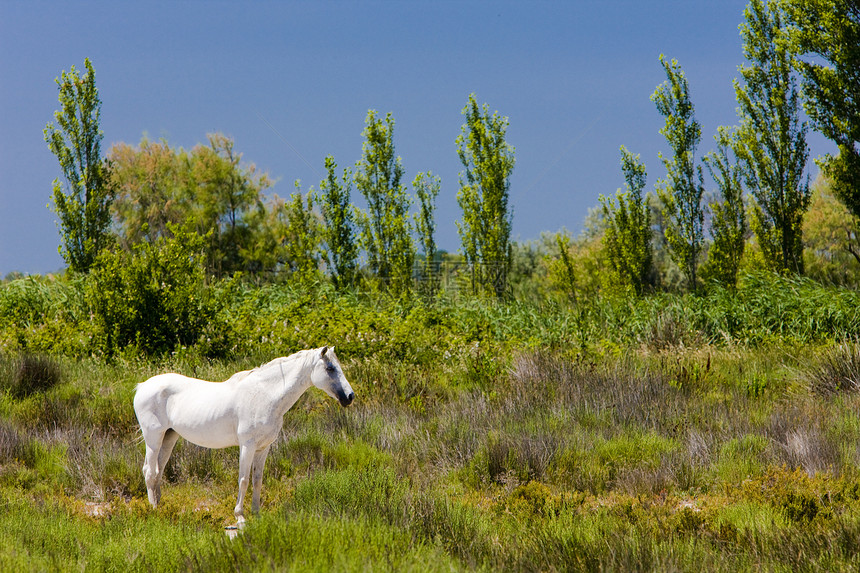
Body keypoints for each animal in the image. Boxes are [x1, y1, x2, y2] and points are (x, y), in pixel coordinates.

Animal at [132, 344, 352, 524]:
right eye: (330, 368)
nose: (350, 397)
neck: (265, 395)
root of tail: (142, 386)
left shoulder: (263, 448)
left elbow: (257, 480)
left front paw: (256, 513)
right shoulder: (248, 445)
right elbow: (244, 479)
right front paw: (240, 516)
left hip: (169, 437)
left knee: (158, 471)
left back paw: (161, 506)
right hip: (153, 438)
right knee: (149, 471)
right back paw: (154, 510)